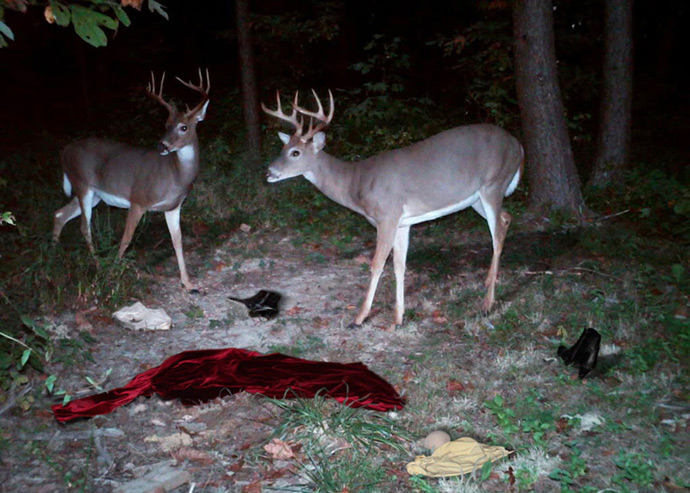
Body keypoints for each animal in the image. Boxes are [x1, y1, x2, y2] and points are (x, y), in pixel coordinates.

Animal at [52, 69, 210, 292]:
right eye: (166, 125)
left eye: (184, 127)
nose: (161, 146)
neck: (175, 175)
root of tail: (65, 152)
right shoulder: (138, 199)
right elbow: (126, 238)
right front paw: (114, 273)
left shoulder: (173, 206)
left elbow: (177, 241)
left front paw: (188, 283)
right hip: (82, 184)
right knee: (84, 226)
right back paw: (97, 264)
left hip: (94, 194)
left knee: (60, 214)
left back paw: (52, 255)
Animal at [262, 90, 523, 329]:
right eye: (283, 149)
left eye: (295, 152)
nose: (269, 172)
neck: (356, 183)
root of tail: (518, 146)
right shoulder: (403, 222)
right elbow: (399, 265)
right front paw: (398, 318)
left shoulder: (387, 215)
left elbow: (377, 264)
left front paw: (359, 317)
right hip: (475, 198)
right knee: (507, 218)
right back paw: (488, 281)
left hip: (493, 184)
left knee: (498, 233)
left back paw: (487, 305)